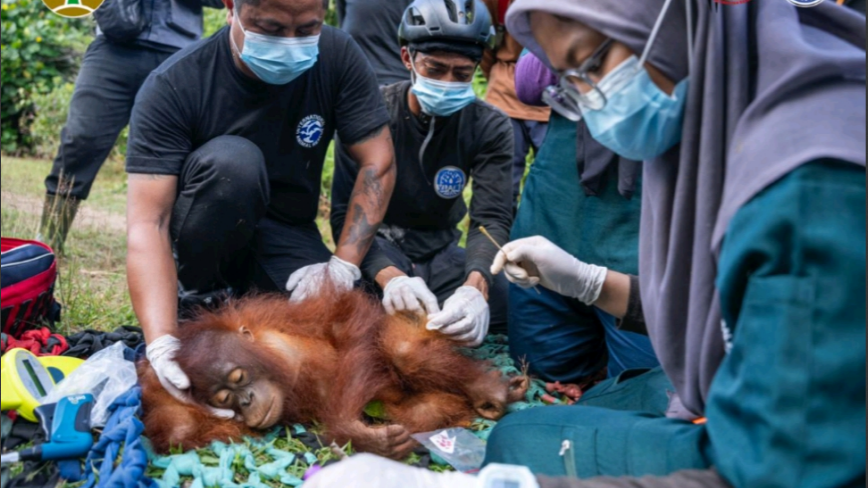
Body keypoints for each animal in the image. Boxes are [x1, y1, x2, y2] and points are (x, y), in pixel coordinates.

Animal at [139, 287, 529, 460]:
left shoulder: (278, 318)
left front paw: (353, 430)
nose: (246, 401)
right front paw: (372, 441)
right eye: (224, 399)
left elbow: (346, 321)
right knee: (422, 411)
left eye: (238, 378)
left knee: (403, 352)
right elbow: (178, 429)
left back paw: (488, 390)